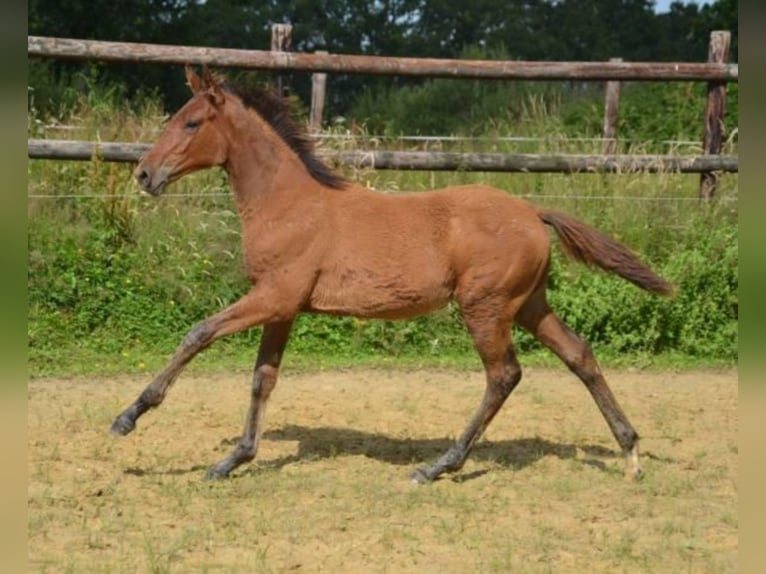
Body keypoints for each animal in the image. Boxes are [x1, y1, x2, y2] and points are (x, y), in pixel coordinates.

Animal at [111, 65, 676, 484]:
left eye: (190, 124)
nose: (144, 174)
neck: (287, 204)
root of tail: (534, 213)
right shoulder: (284, 307)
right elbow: (262, 378)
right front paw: (233, 459)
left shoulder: (273, 295)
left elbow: (198, 333)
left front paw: (129, 416)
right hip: (529, 304)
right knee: (579, 354)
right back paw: (630, 452)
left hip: (486, 306)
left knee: (504, 375)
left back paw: (438, 466)